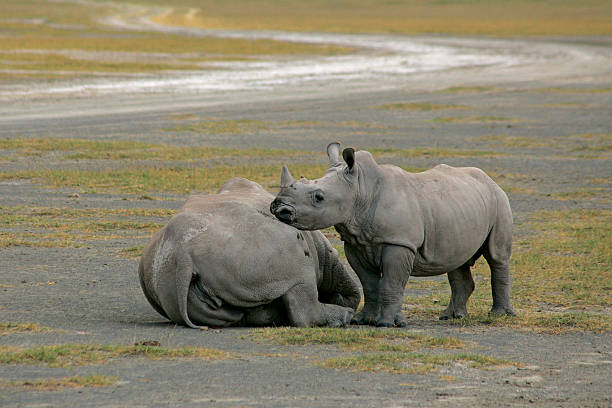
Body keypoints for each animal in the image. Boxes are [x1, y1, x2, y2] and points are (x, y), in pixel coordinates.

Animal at [272, 143, 516, 328]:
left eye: (319, 197)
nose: (279, 208)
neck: (360, 190)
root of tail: (489, 179)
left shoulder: (399, 243)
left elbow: (391, 283)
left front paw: (386, 324)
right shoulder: (355, 243)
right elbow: (369, 285)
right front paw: (363, 320)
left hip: (499, 199)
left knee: (497, 257)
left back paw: (499, 314)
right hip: (459, 209)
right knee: (456, 261)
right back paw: (451, 316)